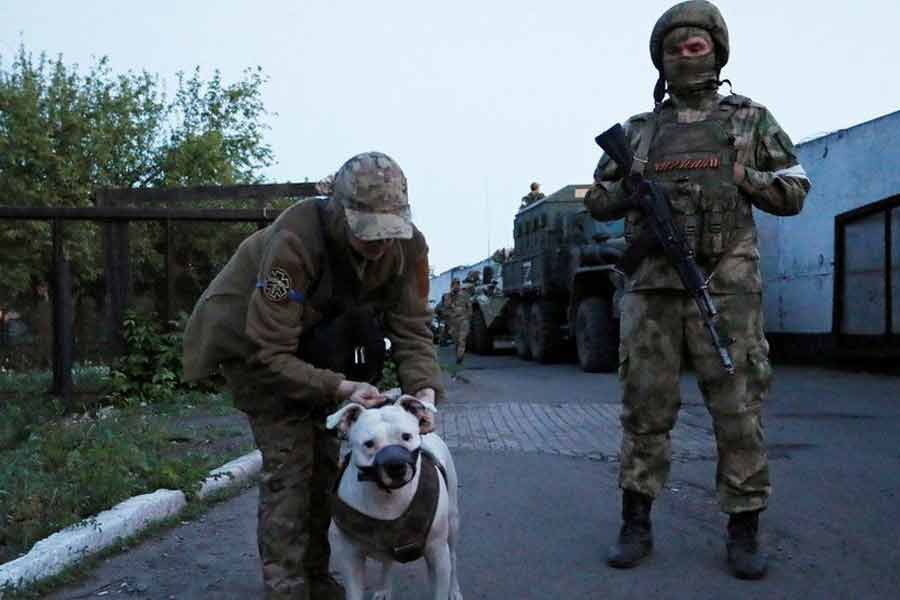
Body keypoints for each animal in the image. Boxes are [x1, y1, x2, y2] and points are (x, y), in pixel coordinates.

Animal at [326, 394, 464, 600]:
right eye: (369, 444)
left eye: (406, 436)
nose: (395, 465)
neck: (387, 497)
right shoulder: (350, 560)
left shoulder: (437, 554)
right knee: (387, 562)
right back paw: (384, 589)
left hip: (452, 523)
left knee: (454, 557)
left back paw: (454, 590)